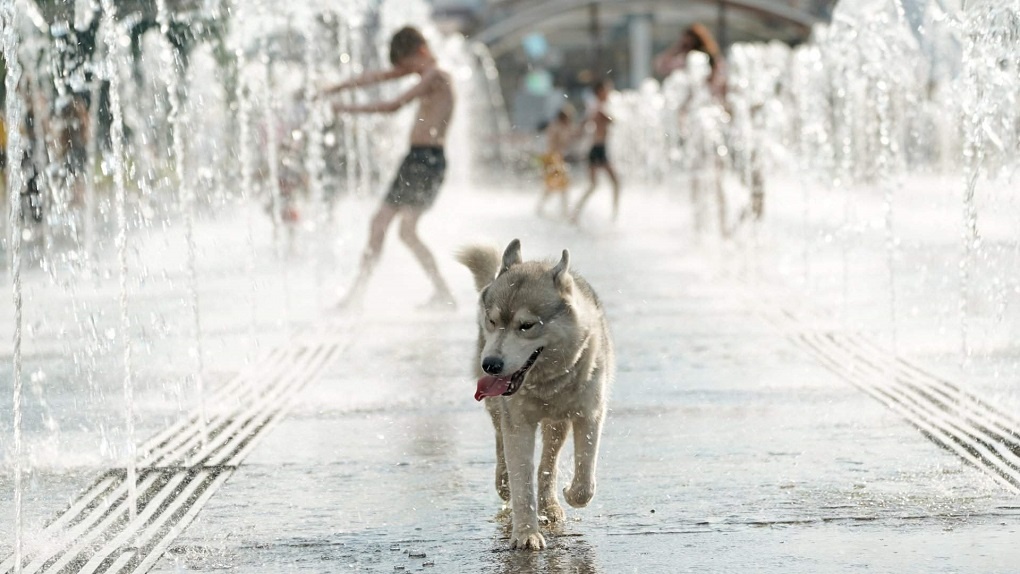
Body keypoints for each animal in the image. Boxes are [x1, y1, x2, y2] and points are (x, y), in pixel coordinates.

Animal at [461, 239, 616, 550]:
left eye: (527, 325)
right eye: (492, 321)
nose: (490, 365)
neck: (548, 383)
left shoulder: (590, 415)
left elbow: (584, 480)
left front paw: (571, 494)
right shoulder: (518, 423)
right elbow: (522, 481)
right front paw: (525, 534)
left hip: (557, 423)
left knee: (549, 462)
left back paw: (551, 504)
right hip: (499, 410)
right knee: (501, 444)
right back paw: (504, 482)